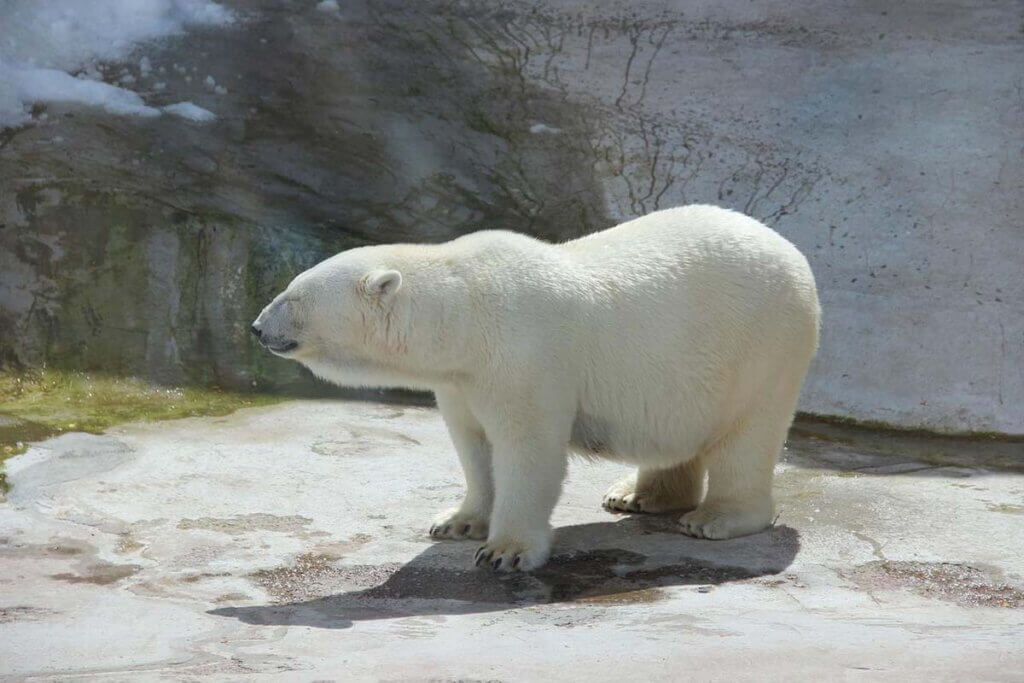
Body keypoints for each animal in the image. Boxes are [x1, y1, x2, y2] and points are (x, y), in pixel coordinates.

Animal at [251, 206, 819, 573]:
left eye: (292, 296)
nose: (256, 328)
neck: (464, 312)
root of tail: (792, 253)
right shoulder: (461, 379)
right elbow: (473, 445)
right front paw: (456, 522)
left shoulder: (524, 354)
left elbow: (528, 449)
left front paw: (505, 551)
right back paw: (635, 495)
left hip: (762, 346)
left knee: (747, 434)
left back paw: (714, 518)